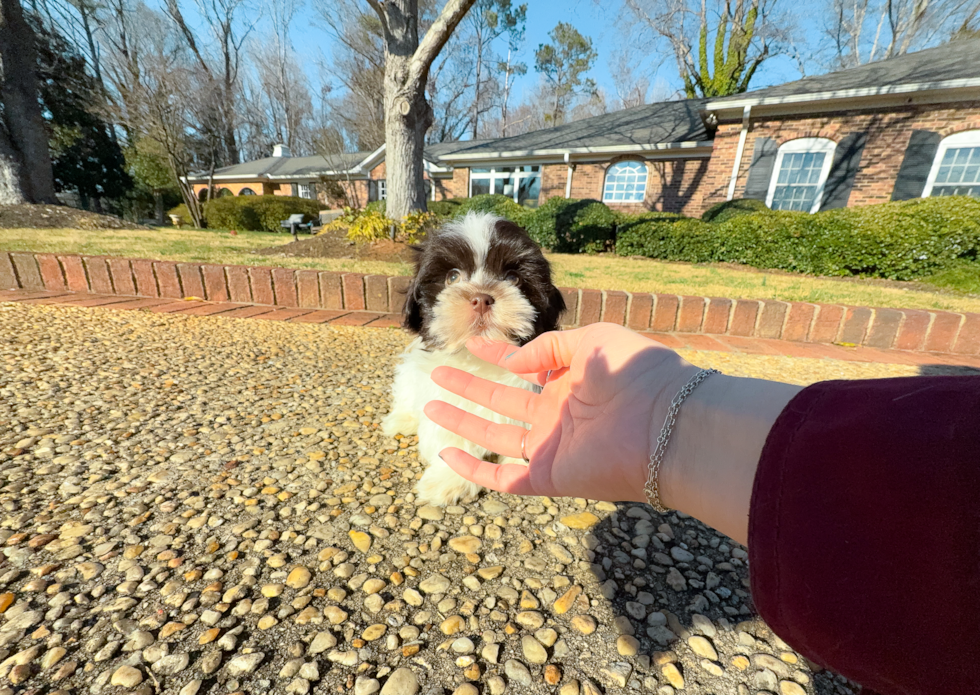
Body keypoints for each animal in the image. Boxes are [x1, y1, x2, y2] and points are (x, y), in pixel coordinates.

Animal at [382, 212, 568, 506]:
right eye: (452, 276)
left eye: (513, 278)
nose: (481, 298)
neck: (481, 360)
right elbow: (448, 438)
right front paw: (448, 480)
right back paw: (400, 421)